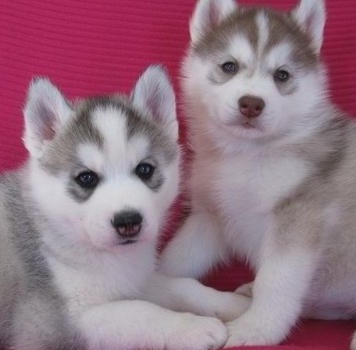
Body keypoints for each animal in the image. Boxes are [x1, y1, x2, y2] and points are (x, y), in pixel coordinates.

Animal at [0, 65, 248, 350]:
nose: (128, 221)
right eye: (86, 178)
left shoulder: (133, 279)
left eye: (145, 169)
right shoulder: (59, 322)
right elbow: (138, 310)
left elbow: (182, 286)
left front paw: (232, 302)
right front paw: (194, 326)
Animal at [161, 0, 356, 348]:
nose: (251, 104)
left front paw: (256, 328)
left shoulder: (298, 217)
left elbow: (276, 281)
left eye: (282, 75)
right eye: (229, 66)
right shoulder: (210, 217)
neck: (246, 155)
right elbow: (178, 258)